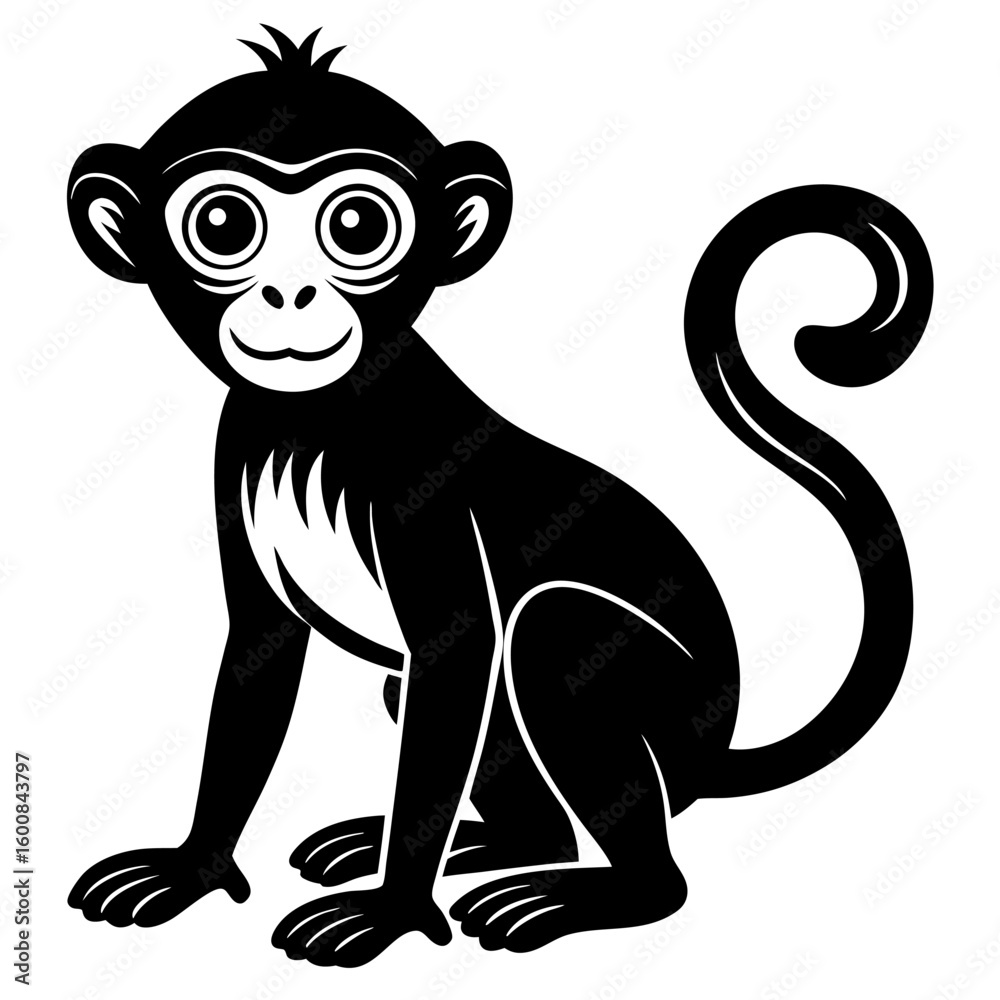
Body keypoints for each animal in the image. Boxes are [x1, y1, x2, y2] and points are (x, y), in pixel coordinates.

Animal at [65, 26, 932, 967]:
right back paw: (491, 844)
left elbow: (460, 647)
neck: (317, 417)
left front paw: (393, 910)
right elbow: (262, 651)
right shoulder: (234, 458)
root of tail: (720, 742)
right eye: (222, 225)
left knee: (551, 636)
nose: (289, 293)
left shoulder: (422, 485)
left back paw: (603, 887)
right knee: (436, 707)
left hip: (666, 709)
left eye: (357, 226)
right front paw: (194, 864)